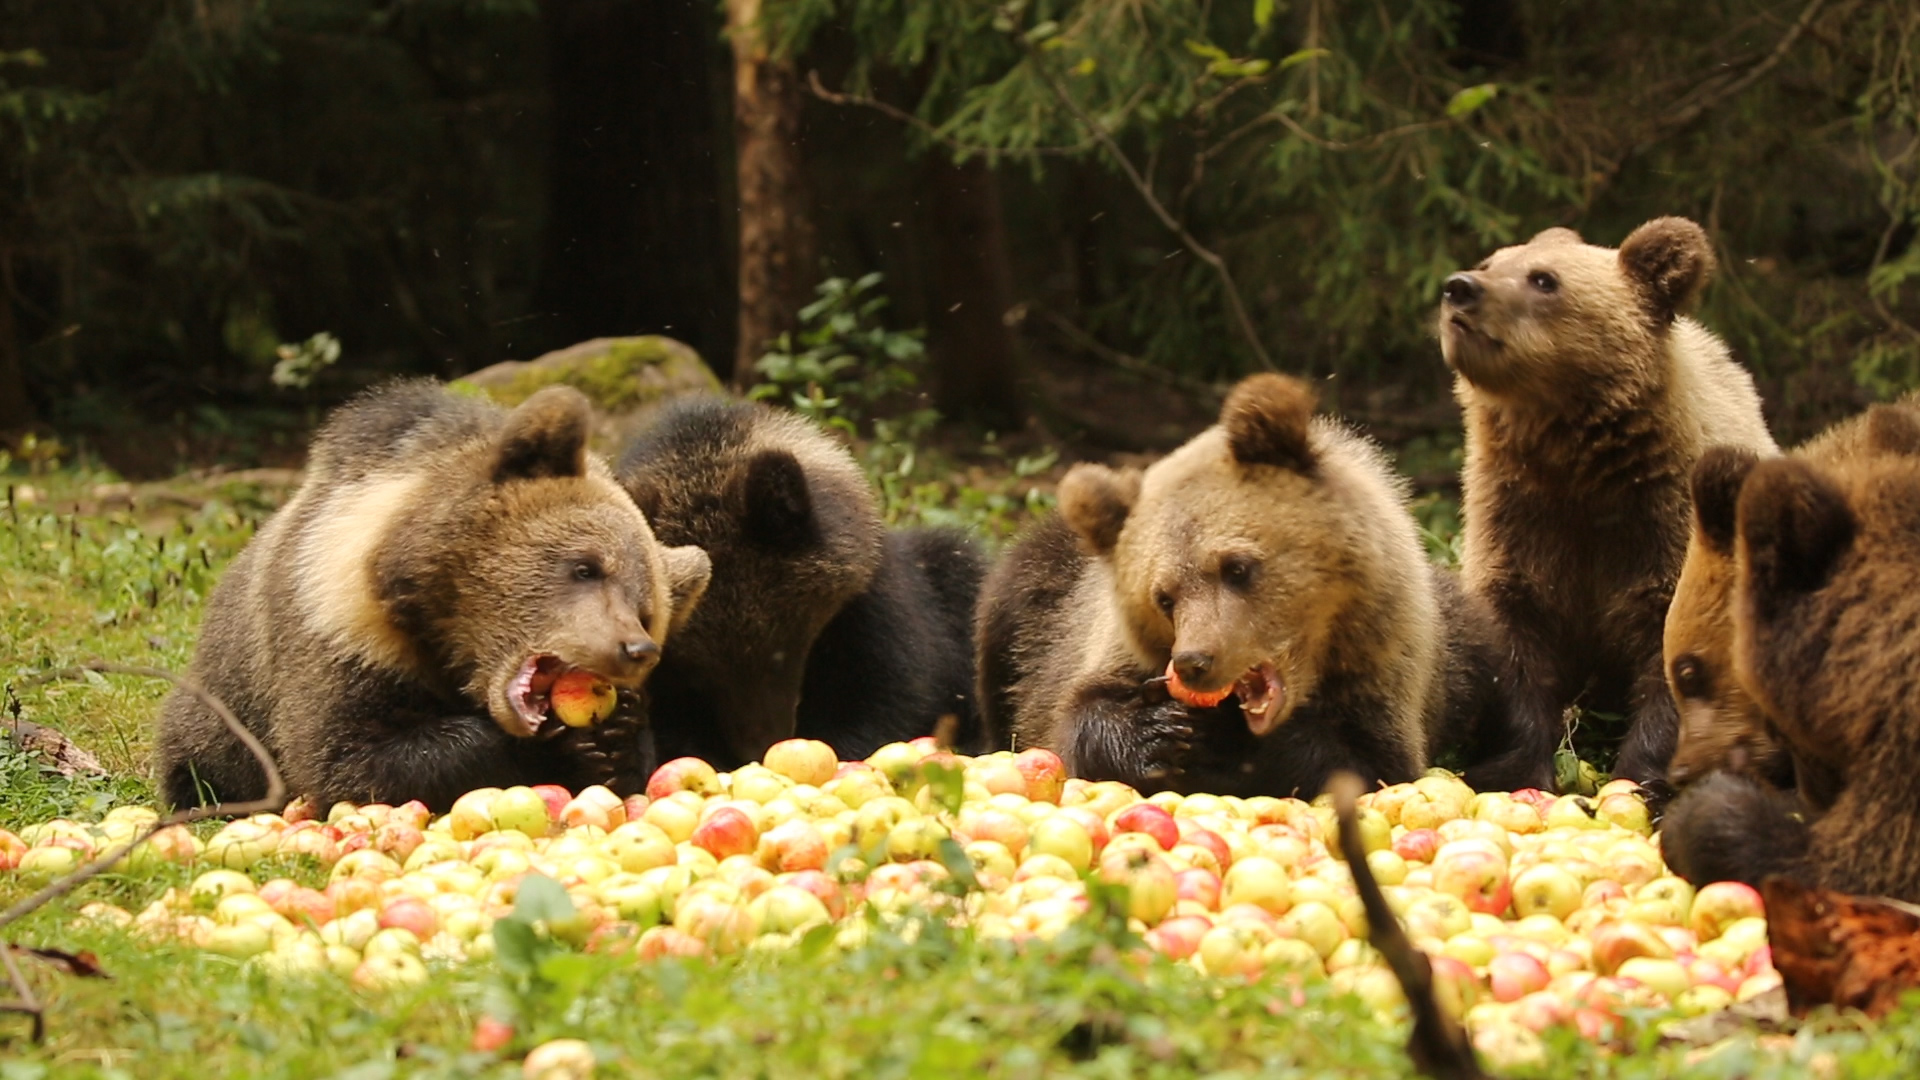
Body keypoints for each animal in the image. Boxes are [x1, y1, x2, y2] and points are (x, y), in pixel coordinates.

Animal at [155, 378, 714, 807]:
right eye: (585, 567)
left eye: (646, 610)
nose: (635, 648)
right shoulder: (340, 632)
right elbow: (346, 756)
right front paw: (559, 748)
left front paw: (617, 738)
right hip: (222, 712)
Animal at [983, 374, 1520, 795]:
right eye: (1164, 598)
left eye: (1236, 568)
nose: (1195, 661)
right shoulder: (1099, 649)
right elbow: (1076, 717)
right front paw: (1157, 734)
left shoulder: (1387, 667)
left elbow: (1369, 760)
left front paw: (1222, 743)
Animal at [1436, 214, 1774, 787]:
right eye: (1490, 262)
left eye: (1544, 279)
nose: (1459, 287)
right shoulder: (1518, 515)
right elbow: (1514, 636)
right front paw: (1515, 768)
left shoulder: (1664, 523)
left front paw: (1644, 776)